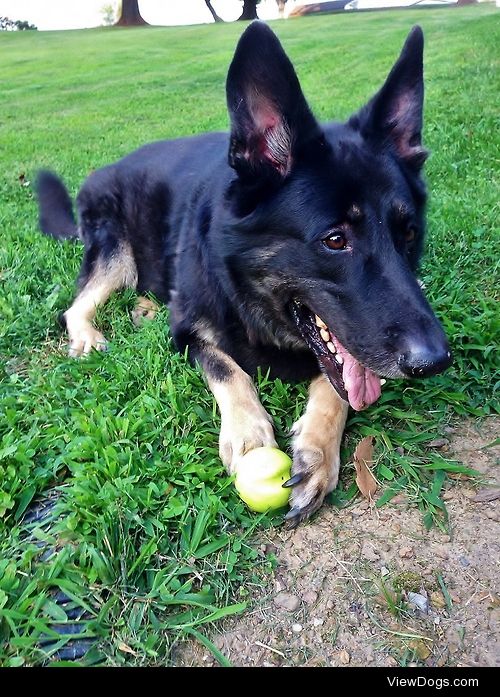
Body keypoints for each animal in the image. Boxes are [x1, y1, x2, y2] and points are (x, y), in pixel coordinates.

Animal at [37, 21, 452, 524]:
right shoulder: (190, 334)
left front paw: (317, 452)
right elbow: (229, 370)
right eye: (335, 240)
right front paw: (250, 436)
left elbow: (336, 384)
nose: (436, 361)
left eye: (408, 232)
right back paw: (88, 335)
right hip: (115, 252)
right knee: (78, 303)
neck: (252, 299)